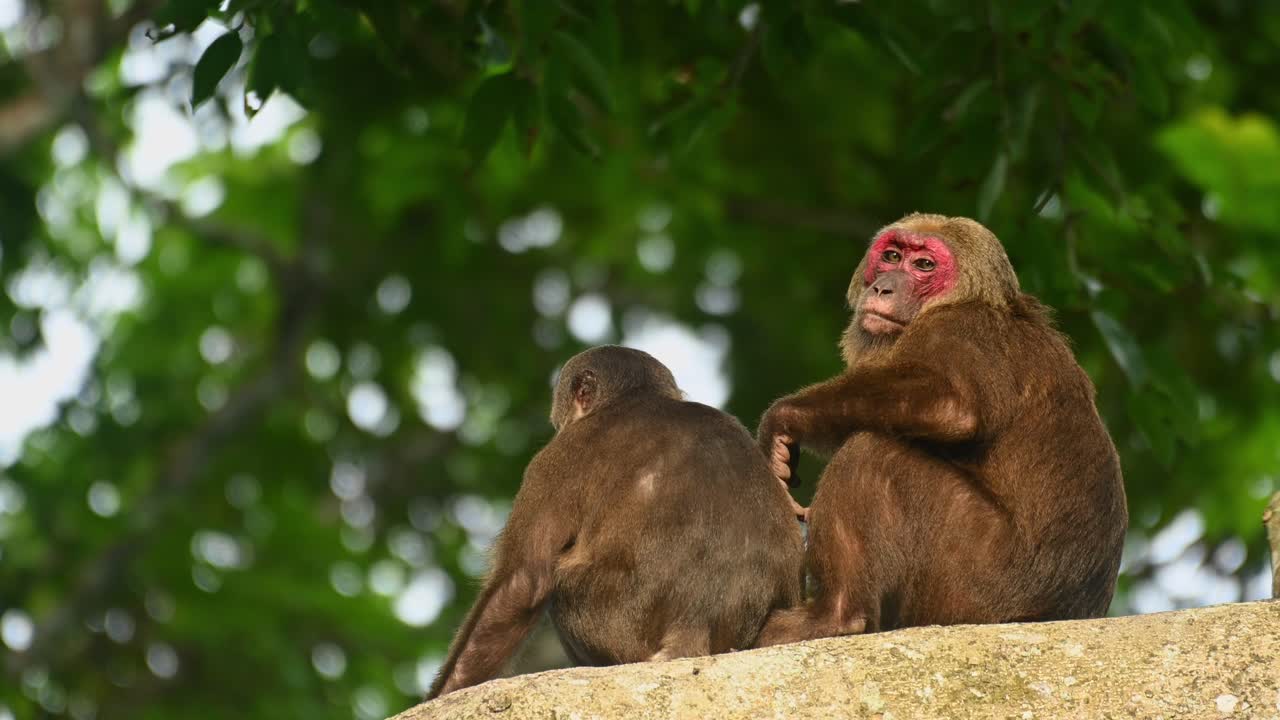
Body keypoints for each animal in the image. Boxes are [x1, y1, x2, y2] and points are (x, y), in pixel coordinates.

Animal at [754, 213, 1128, 645]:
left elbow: (951, 406)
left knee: (875, 453)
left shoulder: (958, 329)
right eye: (892, 256)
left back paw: (836, 616)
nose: (884, 286)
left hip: (978, 587)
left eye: (924, 266)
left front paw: (786, 416)